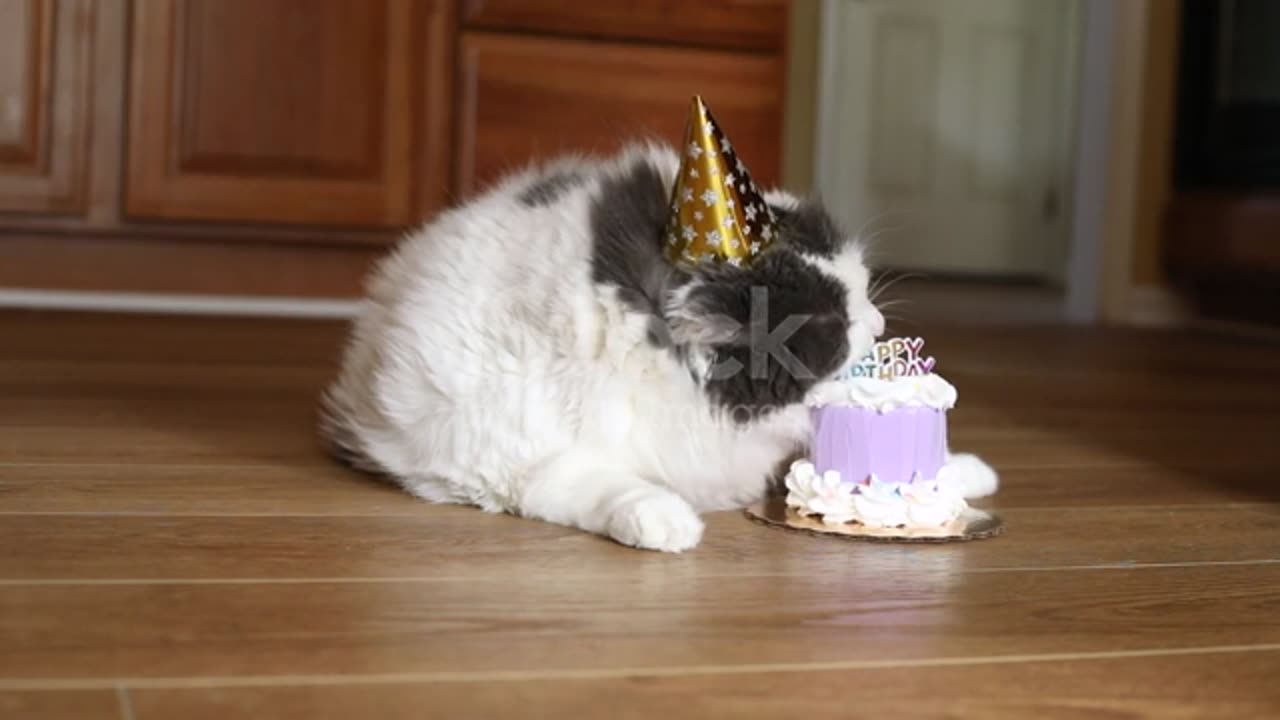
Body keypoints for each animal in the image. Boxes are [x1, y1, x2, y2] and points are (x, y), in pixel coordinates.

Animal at [314, 140, 993, 548]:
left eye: (858, 287)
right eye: (831, 324)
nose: (876, 323)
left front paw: (961, 473)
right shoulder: (515, 462)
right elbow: (608, 486)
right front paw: (667, 523)